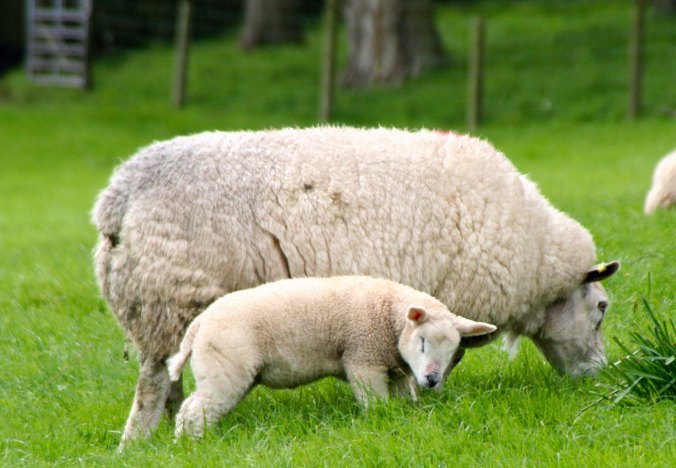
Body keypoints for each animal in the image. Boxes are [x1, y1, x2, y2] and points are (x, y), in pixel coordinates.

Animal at [165, 275, 497, 437]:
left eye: (454, 352)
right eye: (423, 341)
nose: (431, 379)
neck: (389, 317)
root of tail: (199, 324)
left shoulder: (396, 369)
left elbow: (404, 401)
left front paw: (405, 416)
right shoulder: (364, 358)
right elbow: (375, 403)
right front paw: (379, 421)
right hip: (224, 368)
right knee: (193, 410)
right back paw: (194, 444)